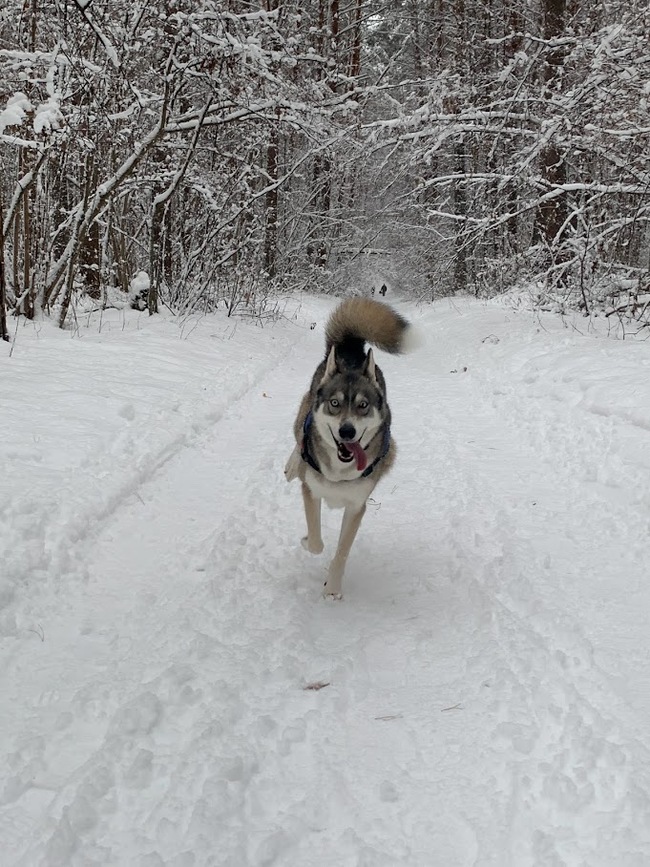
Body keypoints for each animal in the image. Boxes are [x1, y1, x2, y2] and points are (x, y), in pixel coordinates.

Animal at [284, 298, 416, 596]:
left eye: (363, 405)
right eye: (335, 403)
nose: (347, 431)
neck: (340, 471)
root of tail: (351, 353)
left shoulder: (356, 506)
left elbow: (341, 552)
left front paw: (332, 588)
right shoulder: (311, 491)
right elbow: (316, 543)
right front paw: (306, 540)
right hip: (303, 415)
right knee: (298, 441)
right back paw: (292, 465)